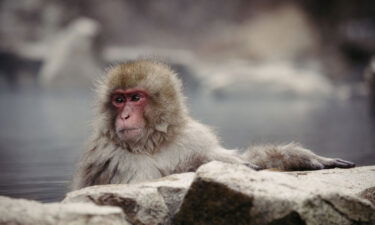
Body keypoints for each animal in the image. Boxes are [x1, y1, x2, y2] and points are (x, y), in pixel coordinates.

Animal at [72, 59, 356, 190]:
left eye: (135, 98)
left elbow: (238, 158)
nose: (125, 116)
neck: (154, 143)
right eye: (118, 100)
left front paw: (299, 157)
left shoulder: (192, 136)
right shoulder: (112, 156)